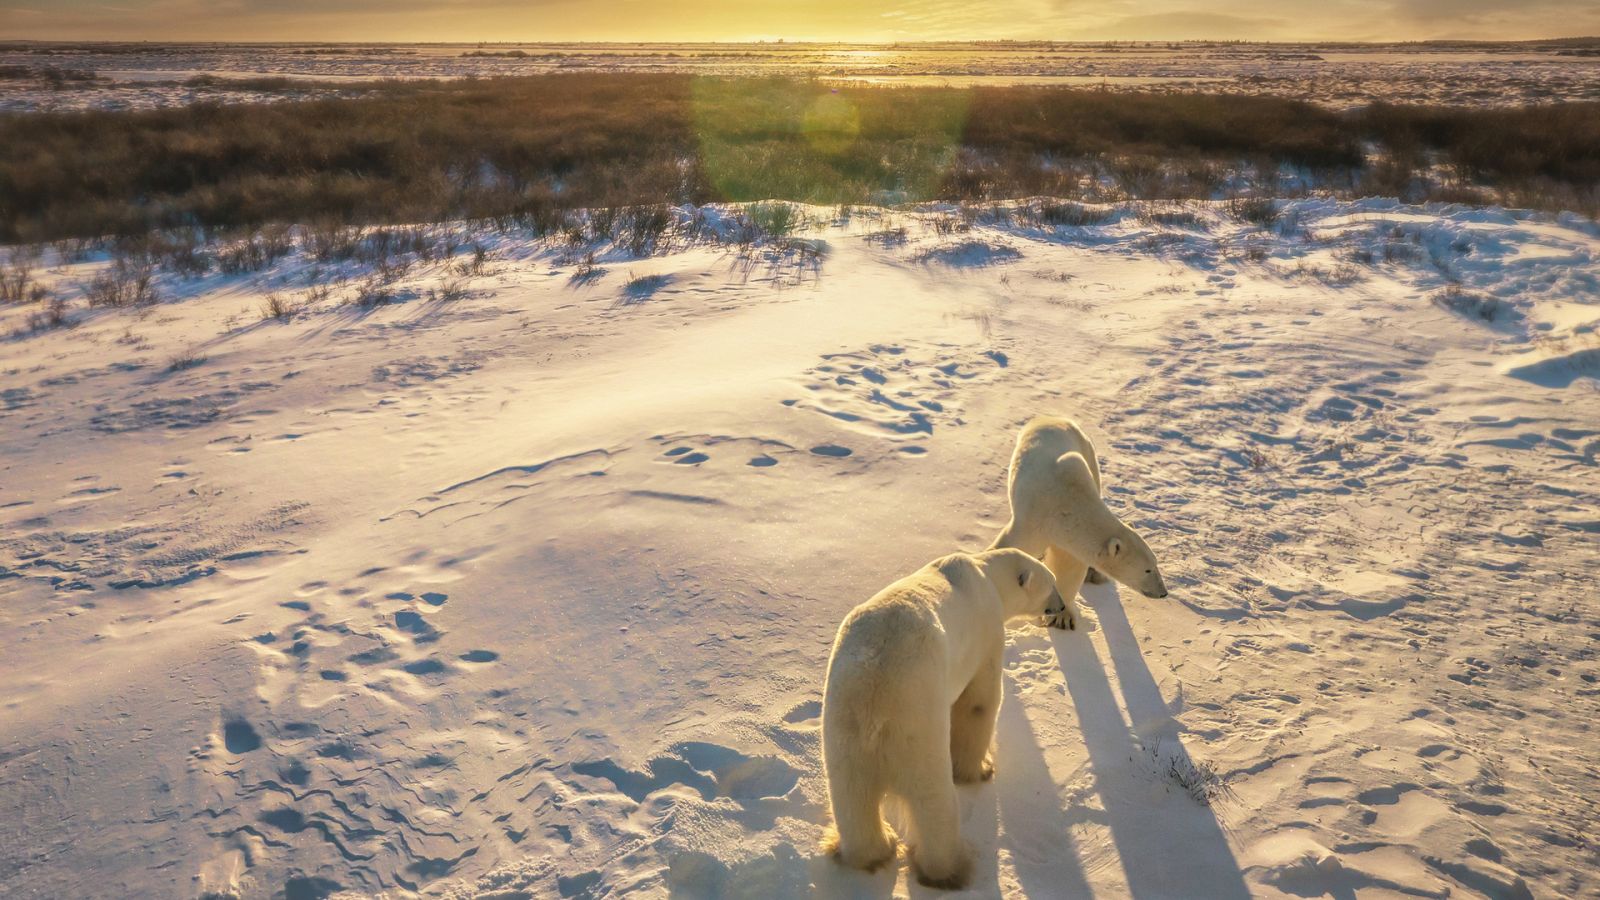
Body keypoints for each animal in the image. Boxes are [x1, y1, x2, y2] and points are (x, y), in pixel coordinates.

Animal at [821, 548, 1065, 890]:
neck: (986, 574)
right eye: (1052, 583)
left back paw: (875, 850)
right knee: (933, 801)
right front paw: (980, 769)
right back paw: (949, 868)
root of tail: (875, 709)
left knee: (852, 799)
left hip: (843, 732)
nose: (1062, 606)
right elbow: (978, 702)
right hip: (917, 729)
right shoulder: (986, 632)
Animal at [989, 415, 1168, 630]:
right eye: (1147, 569)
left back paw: (1095, 574)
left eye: (1155, 563)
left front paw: (1062, 617)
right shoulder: (1034, 519)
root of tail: (1049, 417)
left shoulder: (1070, 537)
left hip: (1089, 453)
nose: (1163, 593)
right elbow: (1012, 546)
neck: (1068, 503)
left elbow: (1070, 568)